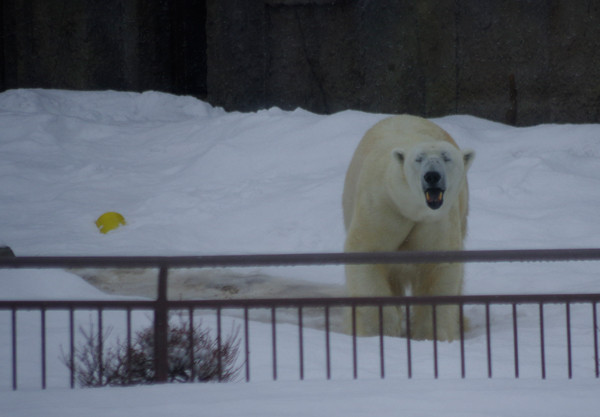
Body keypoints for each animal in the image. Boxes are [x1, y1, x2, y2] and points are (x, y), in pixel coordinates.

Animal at [342, 114, 474, 342]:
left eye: (446, 157)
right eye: (418, 159)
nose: (432, 176)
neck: (411, 208)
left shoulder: (437, 221)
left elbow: (439, 268)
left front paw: (431, 335)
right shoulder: (382, 207)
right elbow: (366, 254)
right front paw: (380, 330)